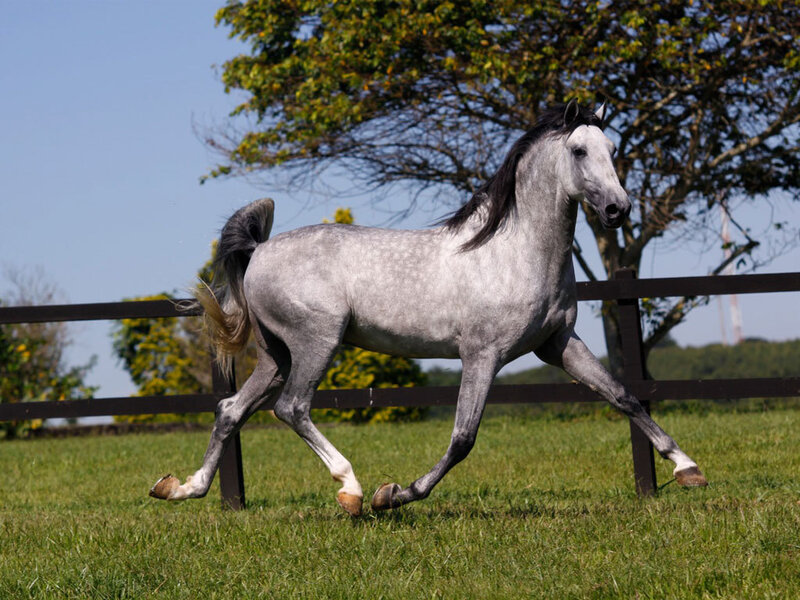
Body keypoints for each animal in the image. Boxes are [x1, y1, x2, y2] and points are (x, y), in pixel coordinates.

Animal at [149, 100, 707, 516]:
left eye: (612, 148)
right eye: (578, 149)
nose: (617, 209)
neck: (512, 250)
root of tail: (260, 251)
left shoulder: (558, 345)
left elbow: (624, 397)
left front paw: (688, 469)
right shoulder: (483, 355)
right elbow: (463, 438)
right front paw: (394, 495)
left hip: (276, 354)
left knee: (230, 410)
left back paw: (181, 488)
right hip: (316, 342)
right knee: (292, 408)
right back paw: (352, 490)